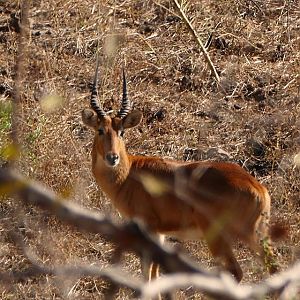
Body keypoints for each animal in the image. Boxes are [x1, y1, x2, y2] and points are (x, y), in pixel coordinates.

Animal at [82, 58, 278, 284]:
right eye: (100, 130)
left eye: (121, 132)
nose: (112, 157)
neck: (129, 173)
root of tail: (258, 188)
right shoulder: (160, 234)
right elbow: (155, 274)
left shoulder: (148, 230)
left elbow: (147, 273)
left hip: (225, 236)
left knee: (237, 271)